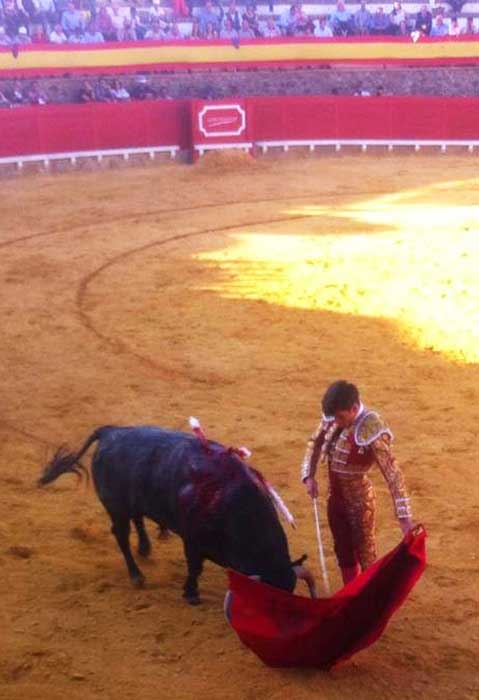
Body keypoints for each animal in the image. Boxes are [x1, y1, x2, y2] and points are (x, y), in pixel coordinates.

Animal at [37, 424, 316, 604]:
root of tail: (110, 432)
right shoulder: (192, 541)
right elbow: (195, 567)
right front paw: (191, 594)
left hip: (136, 499)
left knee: (138, 518)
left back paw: (146, 547)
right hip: (116, 507)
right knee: (121, 535)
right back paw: (137, 576)